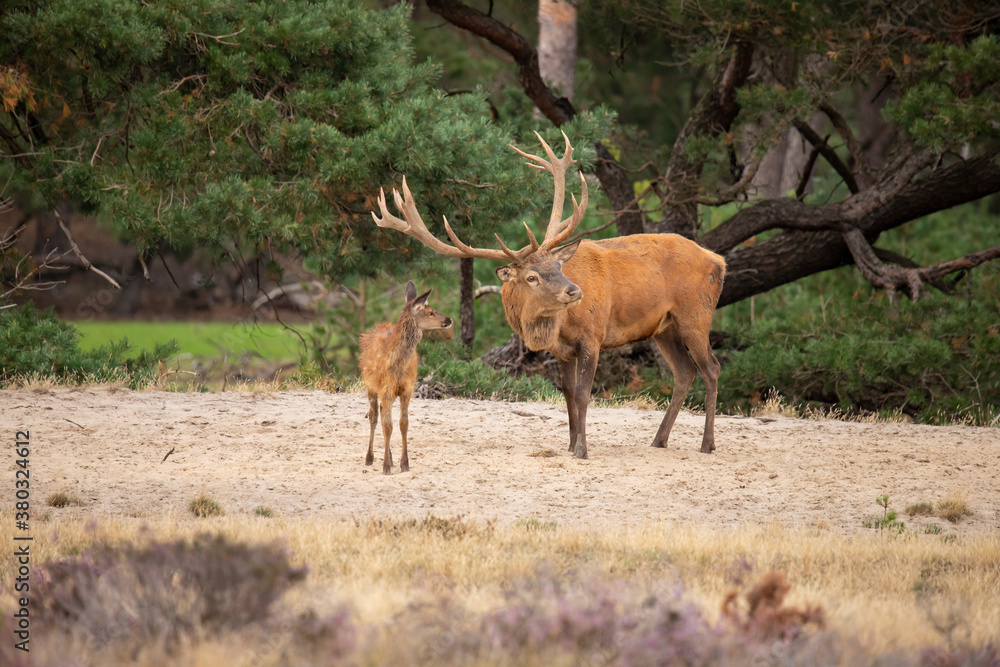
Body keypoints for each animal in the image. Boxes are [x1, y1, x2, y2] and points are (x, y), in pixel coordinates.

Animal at [359, 281, 453, 474]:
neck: (398, 365)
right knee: (374, 416)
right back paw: (370, 458)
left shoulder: (407, 389)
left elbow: (403, 424)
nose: (449, 320)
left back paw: (389, 457)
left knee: (381, 413)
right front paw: (386, 467)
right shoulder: (386, 389)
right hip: (370, 385)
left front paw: (404, 464)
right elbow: (388, 425)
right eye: (430, 312)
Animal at [371, 132, 726, 459]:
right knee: (685, 372)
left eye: (558, 265)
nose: (575, 290)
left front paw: (582, 450)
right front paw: (570, 445)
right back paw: (658, 440)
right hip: (664, 327)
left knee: (711, 367)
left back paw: (707, 444)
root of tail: (718, 261)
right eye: (532, 276)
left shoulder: (593, 336)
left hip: (696, 314)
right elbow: (567, 394)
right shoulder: (562, 351)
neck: (558, 326)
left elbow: (583, 394)